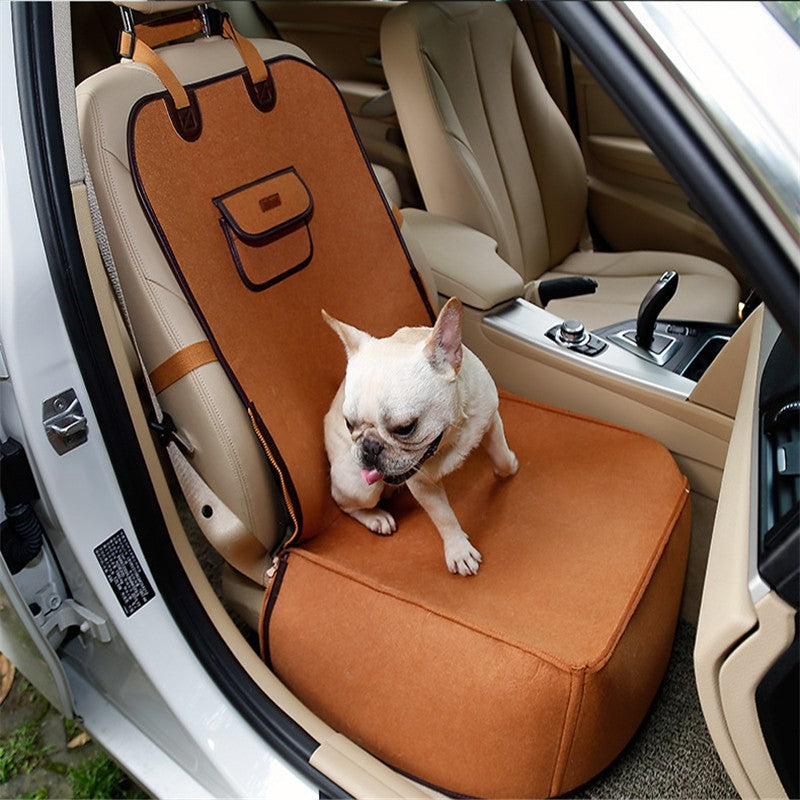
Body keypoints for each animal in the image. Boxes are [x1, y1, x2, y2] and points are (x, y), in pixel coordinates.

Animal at [324, 296, 520, 572]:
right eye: (349, 424)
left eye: (405, 428)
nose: (370, 446)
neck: (452, 433)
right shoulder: (421, 484)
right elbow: (443, 516)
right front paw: (459, 550)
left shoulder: (490, 419)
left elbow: (499, 452)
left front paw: (508, 466)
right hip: (359, 486)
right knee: (344, 503)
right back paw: (375, 517)